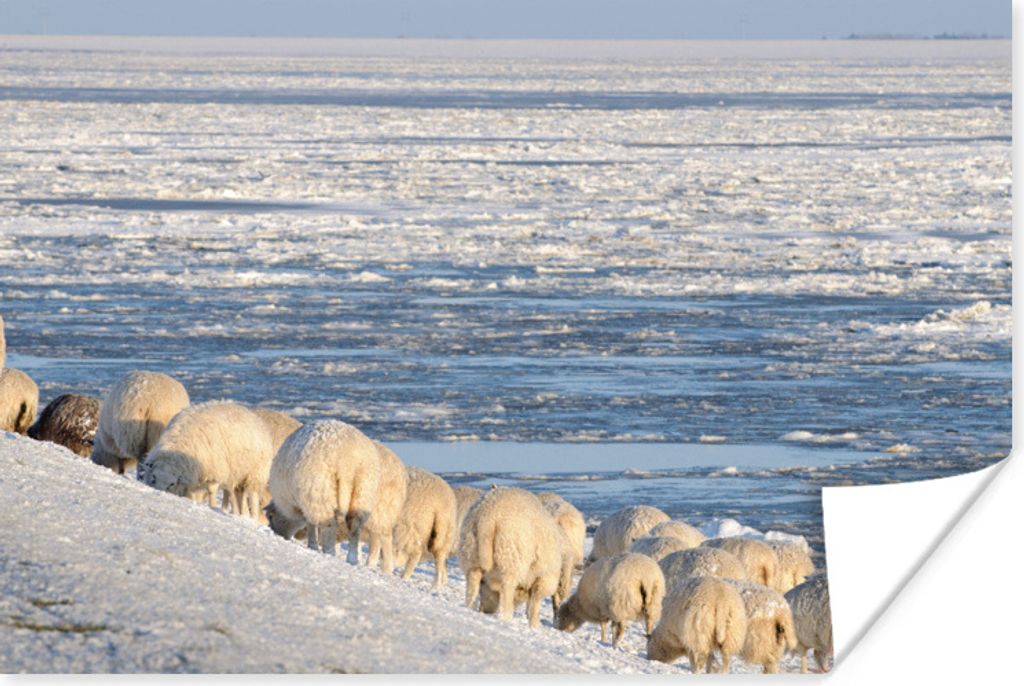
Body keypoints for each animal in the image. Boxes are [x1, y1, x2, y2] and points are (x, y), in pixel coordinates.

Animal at [138, 401, 276, 519]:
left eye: (172, 483)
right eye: (154, 477)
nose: (160, 493)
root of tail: (251, 414)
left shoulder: (214, 472)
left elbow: (211, 491)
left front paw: (212, 507)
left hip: (255, 474)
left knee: (253, 496)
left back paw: (252, 517)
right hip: (237, 474)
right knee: (237, 494)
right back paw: (240, 514)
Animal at [264, 420, 381, 564]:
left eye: (270, 516)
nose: (277, 534)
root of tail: (347, 461)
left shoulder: (306, 501)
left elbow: (310, 523)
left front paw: (312, 545)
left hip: (321, 492)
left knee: (329, 525)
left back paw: (328, 552)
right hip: (363, 491)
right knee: (354, 527)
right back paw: (352, 559)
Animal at [458, 486, 562, 628]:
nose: (485, 611)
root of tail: (488, 516)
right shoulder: (544, 577)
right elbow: (535, 603)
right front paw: (535, 626)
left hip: (471, 550)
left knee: (472, 581)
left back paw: (470, 607)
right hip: (510, 553)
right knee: (507, 588)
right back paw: (506, 617)